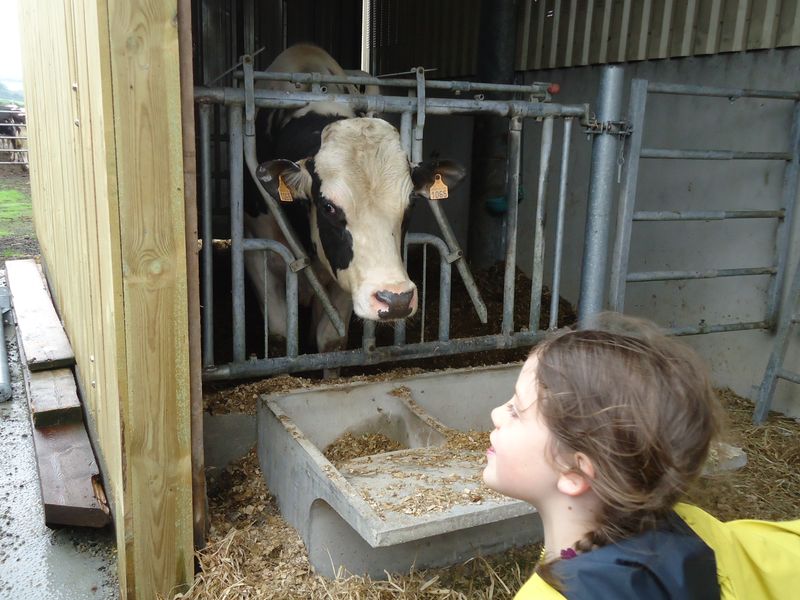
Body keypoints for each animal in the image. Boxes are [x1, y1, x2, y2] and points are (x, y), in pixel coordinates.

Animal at [243, 44, 465, 355]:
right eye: (328, 207)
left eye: (411, 203)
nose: (396, 299)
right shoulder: (257, 252)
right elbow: (279, 336)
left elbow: (330, 339)